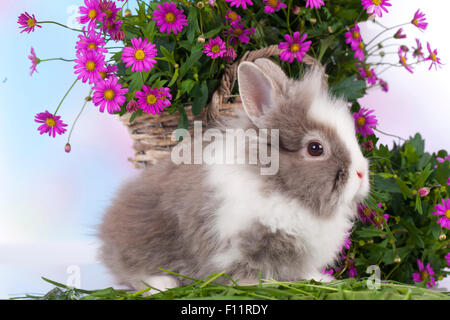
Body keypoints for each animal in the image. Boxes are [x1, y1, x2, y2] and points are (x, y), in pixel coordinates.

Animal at [98, 57, 370, 292]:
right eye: (315, 148)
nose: (361, 173)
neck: (281, 189)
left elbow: (303, 270)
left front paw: (320, 280)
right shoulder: (236, 246)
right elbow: (248, 271)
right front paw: (261, 285)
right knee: (134, 274)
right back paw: (163, 283)